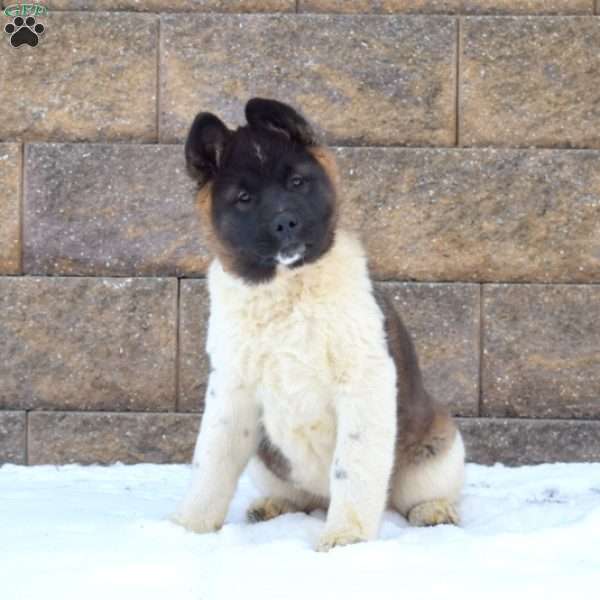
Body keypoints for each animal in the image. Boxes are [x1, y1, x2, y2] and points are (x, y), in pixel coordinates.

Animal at [173, 98, 464, 552]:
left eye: (297, 182)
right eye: (244, 198)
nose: (285, 223)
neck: (287, 289)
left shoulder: (364, 379)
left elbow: (352, 468)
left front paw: (345, 538)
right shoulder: (232, 391)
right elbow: (211, 463)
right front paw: (188, 528)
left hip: (438, 448)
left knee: (414, 493)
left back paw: (432, 510)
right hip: (266, 461)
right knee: (302, 497)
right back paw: (275, 506)